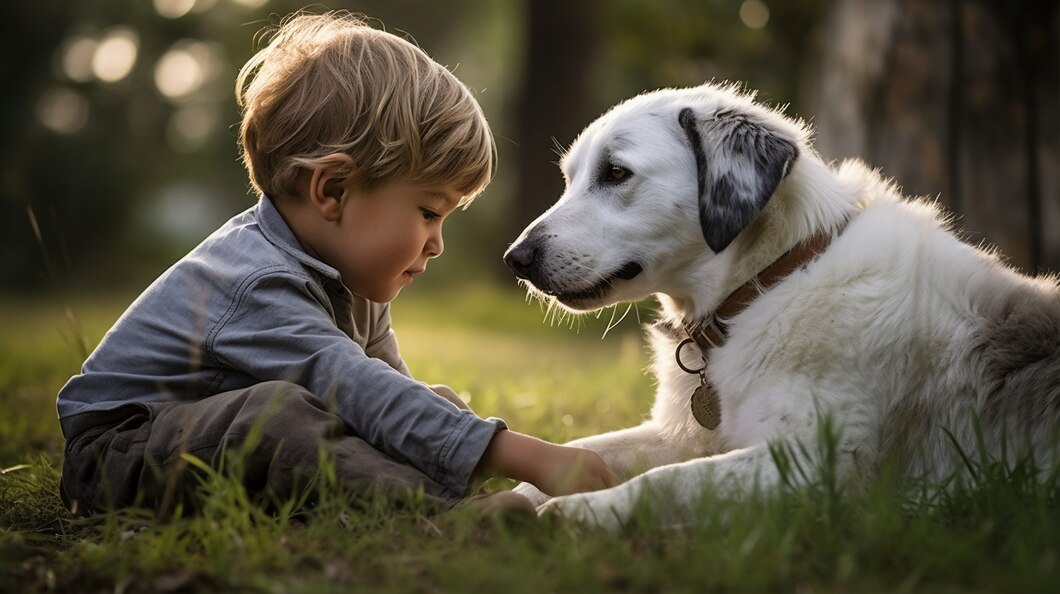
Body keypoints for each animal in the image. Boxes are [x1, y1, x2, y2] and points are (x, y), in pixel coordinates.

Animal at [498, 82, 1060, 528]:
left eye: (616, 172)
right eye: (570, 178)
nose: (515, 259)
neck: (766, 287)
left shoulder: (813, 465)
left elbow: (669, 481)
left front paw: (588, 511)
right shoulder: (685, 435)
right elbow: (577, 450)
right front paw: (513, 495)